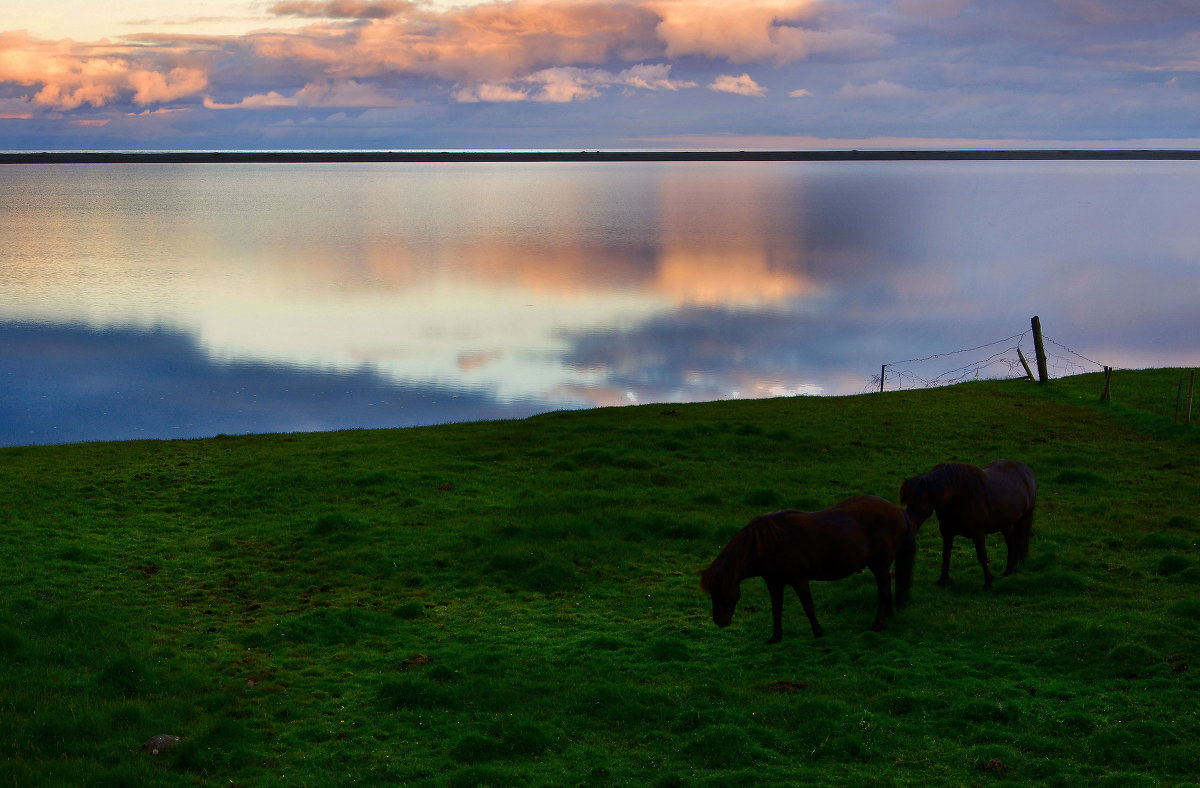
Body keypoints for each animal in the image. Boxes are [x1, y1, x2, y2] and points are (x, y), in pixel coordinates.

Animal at [700, 494, 912, 642]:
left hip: (879, 563)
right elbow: (776, 608)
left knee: (883, 589)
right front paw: (775, 637)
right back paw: (889, 617)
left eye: (722, 591)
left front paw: (818, 632)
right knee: (886, 585)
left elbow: (808, 606)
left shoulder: (798, 579)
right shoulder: (774, 583)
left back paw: (878, 625)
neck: (769, 544)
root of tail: (898, 511)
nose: (720, 621)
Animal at [902, 458, 1036, 587]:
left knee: (1019, 543)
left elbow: (982, 556)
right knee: (1011, 543)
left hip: (1024, 518)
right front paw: (943, 579)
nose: (909, 527)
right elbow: (946, 555)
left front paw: (988, 582)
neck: (957, 497)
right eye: (907, 500)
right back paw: (1008, 570)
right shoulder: (947, 533)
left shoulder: (978, 534)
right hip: (1004, 523)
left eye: (919, 500)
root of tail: (1026, 469)